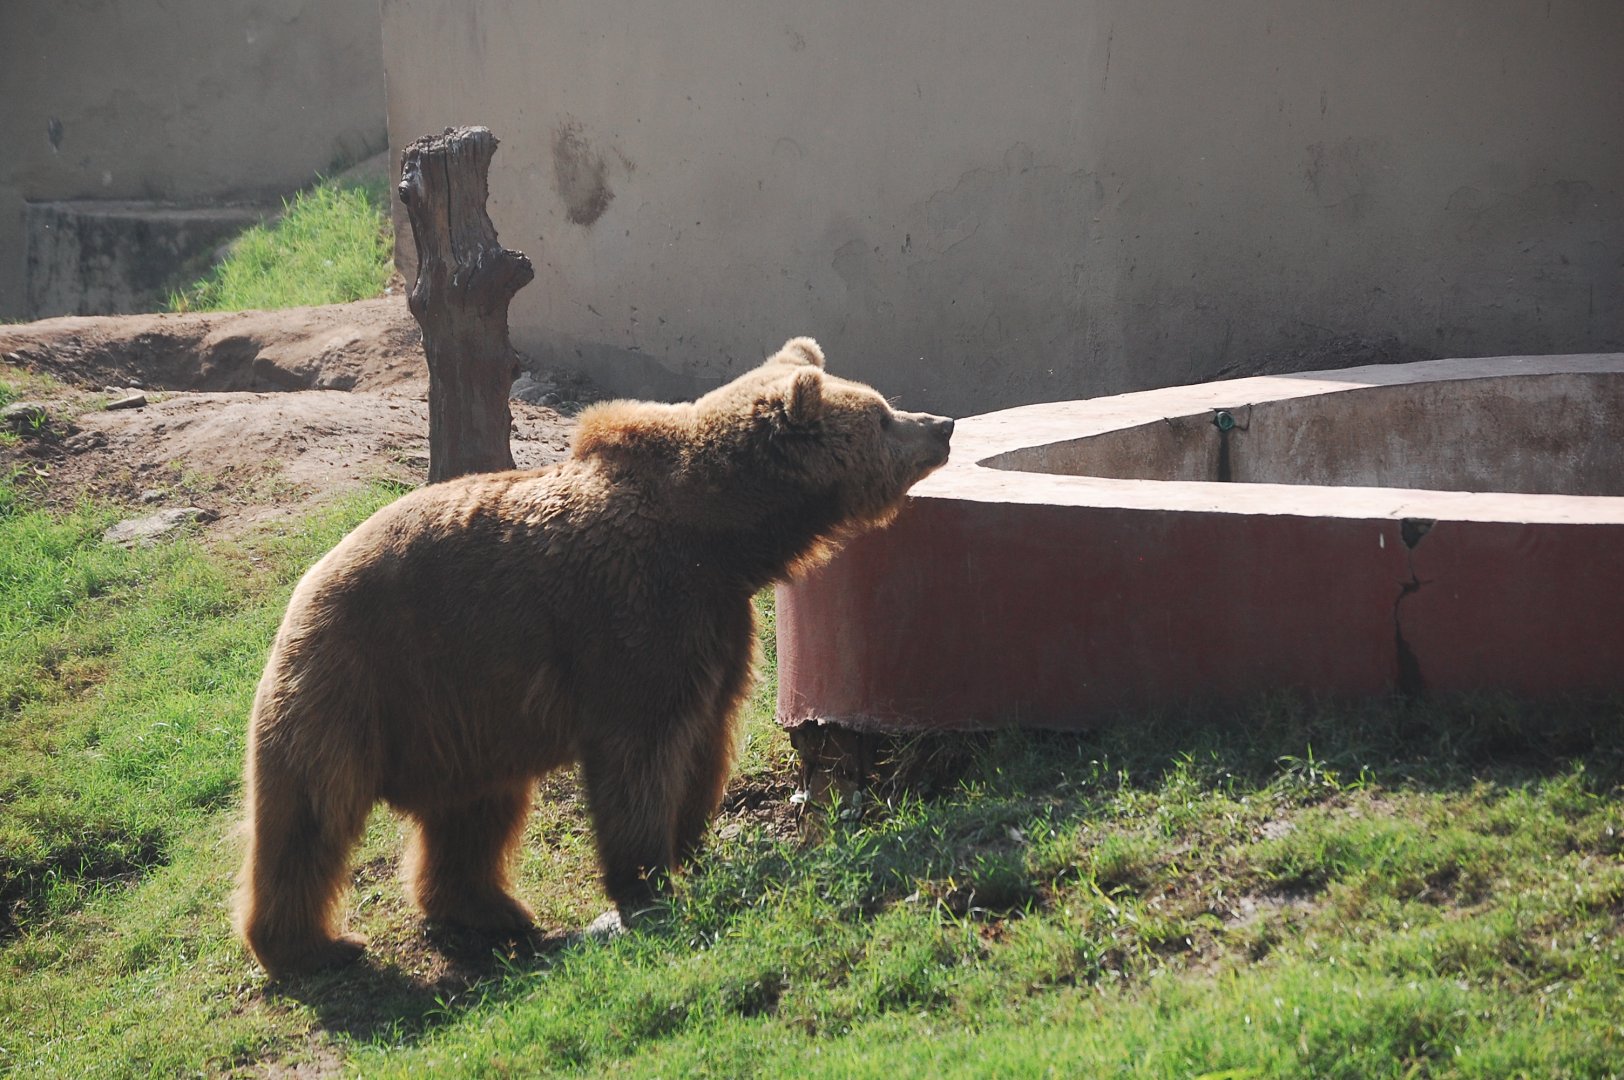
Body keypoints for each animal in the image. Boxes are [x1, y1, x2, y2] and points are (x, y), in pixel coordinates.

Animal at [234, 337, 954, 977]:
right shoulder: (633, 611)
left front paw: (691, 843)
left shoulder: (716, 623)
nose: (942, 425)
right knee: (311, 814)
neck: (721, 540)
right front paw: (647, 878)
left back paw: (491, 909)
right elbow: (642, 749)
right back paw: (310, 946)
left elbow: (706, 735)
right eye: (881, 414)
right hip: (362, 675)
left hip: (461, 714)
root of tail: (304, 586)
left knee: (475, 813)